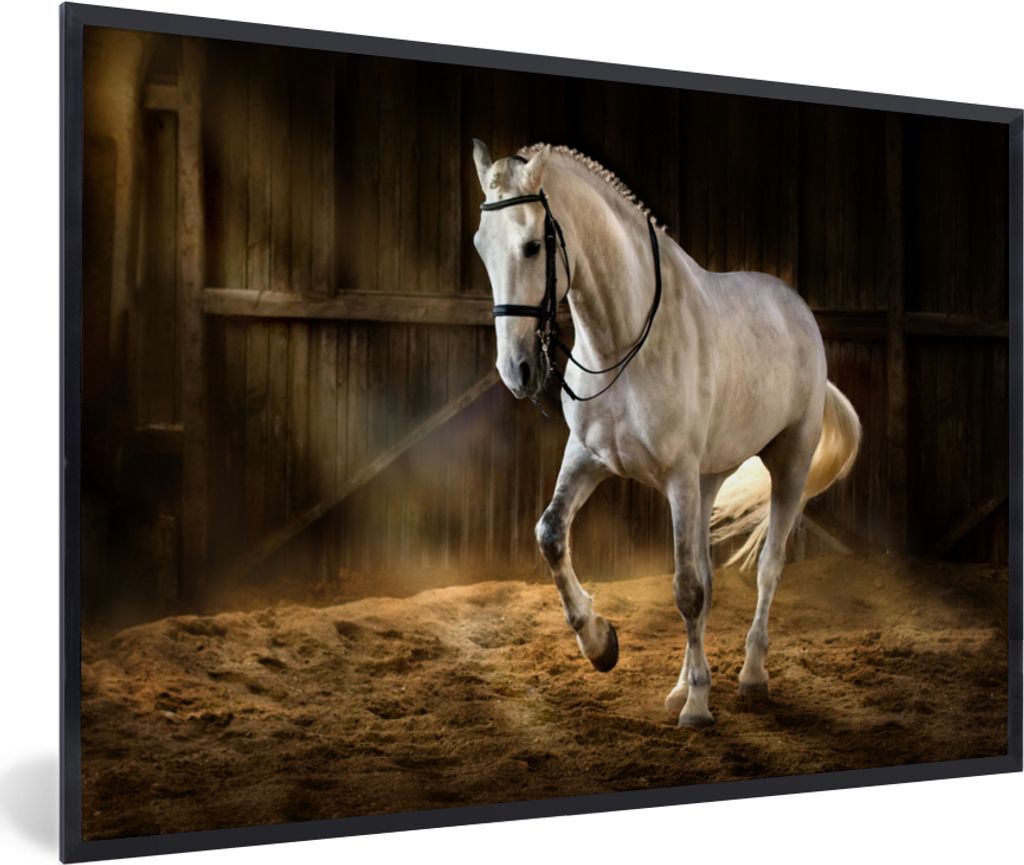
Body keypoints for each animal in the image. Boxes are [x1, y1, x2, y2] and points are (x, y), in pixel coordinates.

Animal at [471, 140, 861, 727]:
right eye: (481, 247)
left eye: (533, 245)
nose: (515, 371)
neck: (624, 343)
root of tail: (798, 310)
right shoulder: (588, 457)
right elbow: (551, 534)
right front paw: (601, 644)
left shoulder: (676, 477)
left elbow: (687, 590)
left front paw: (698, 707)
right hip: (708, 479)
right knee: (709, 573)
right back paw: (681, 685)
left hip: (787, 463)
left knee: (767, 569)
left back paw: (750, 676)